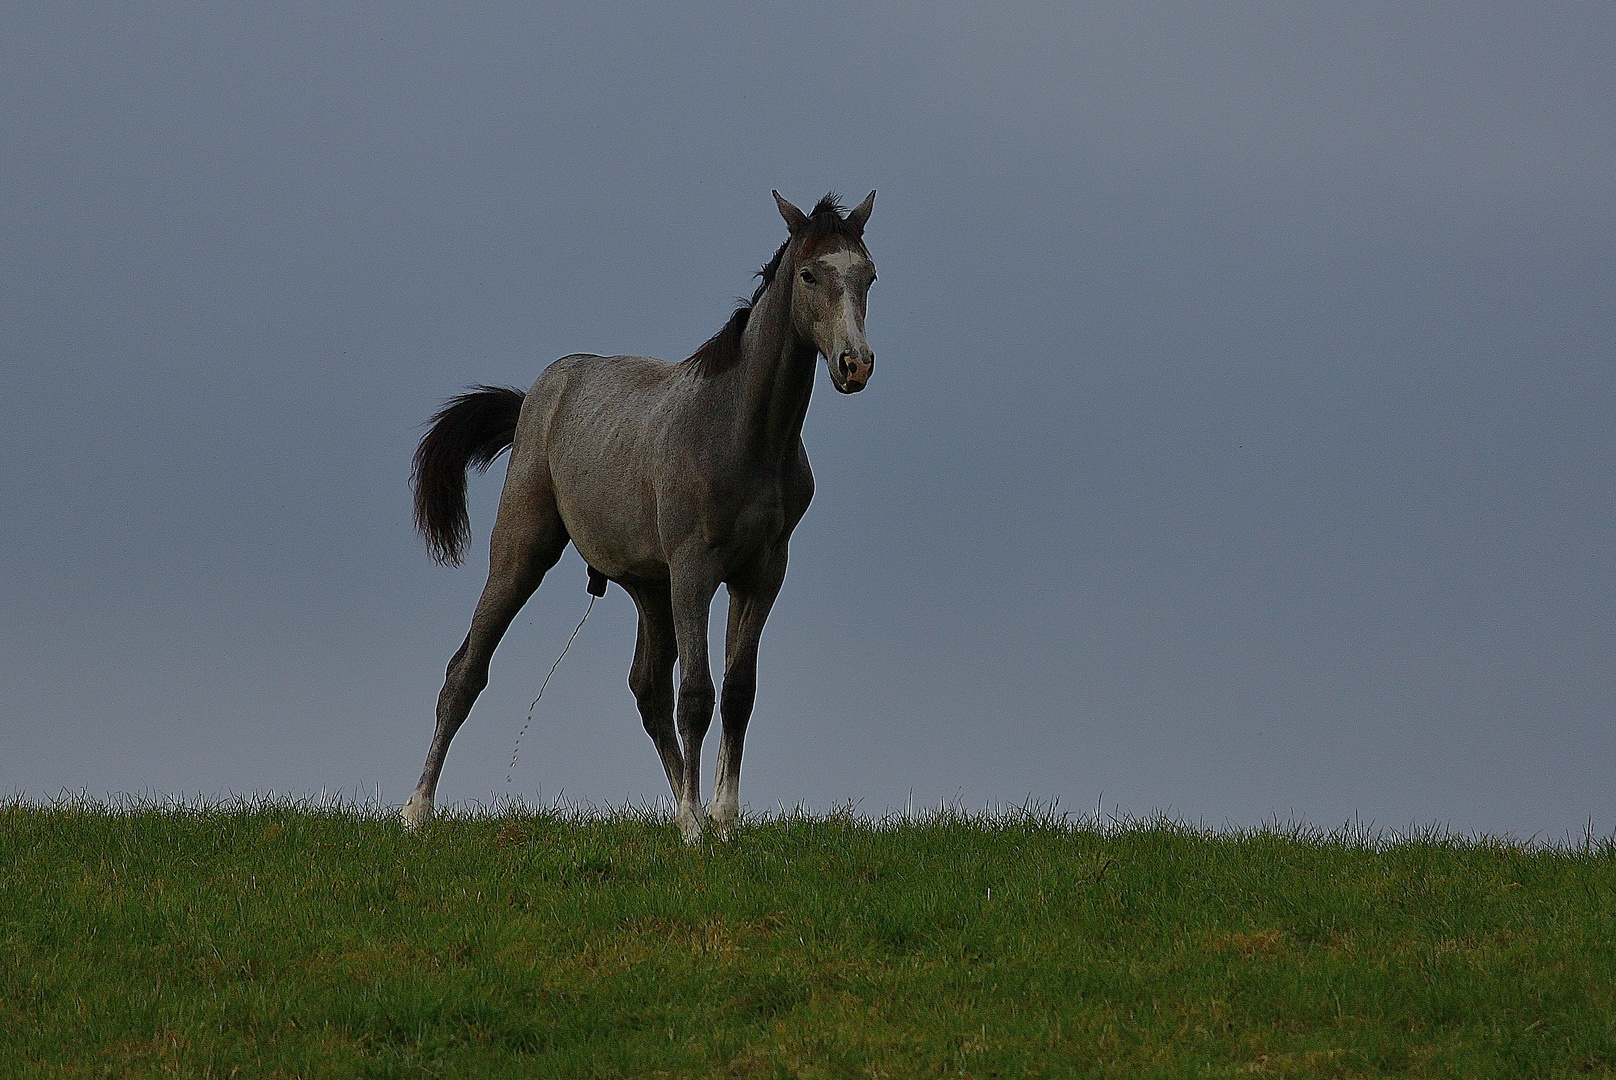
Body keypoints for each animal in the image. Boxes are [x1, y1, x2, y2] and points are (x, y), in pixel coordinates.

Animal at [404, 189, 885, 840]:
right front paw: (695, 830)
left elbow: (738, 691)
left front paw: (722, 818)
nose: (854, 364)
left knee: (648, 689)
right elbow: (698, 695)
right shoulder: (694, 569)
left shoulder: (762, 573)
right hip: (524, 550)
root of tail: (536, 397)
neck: (742, 432)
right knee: (466, 670)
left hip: (650, 590)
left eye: (868, 275)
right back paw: (417, 809)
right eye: (810, 274)